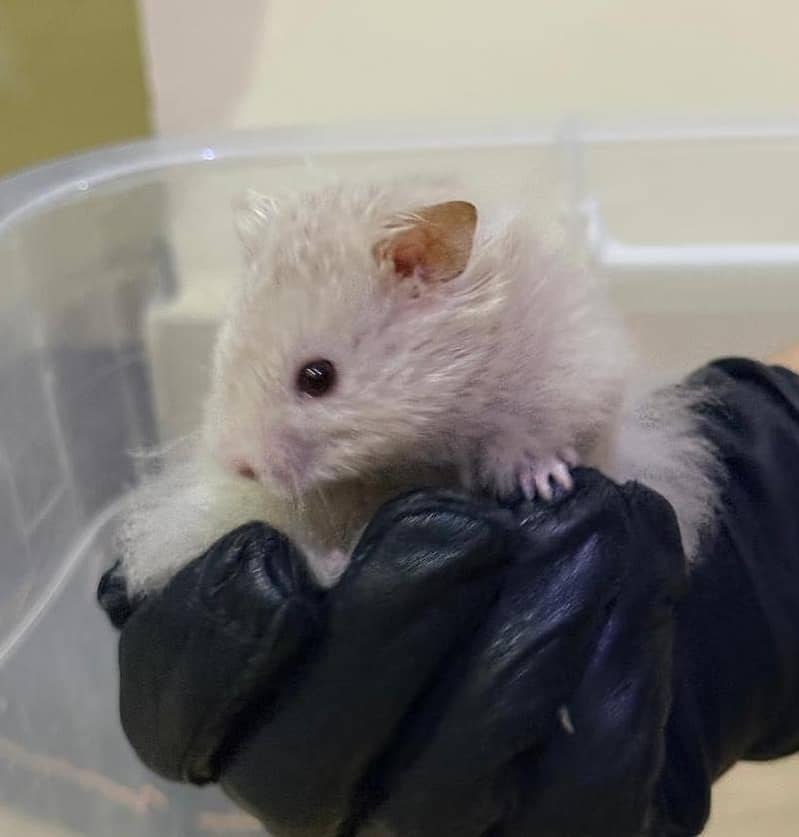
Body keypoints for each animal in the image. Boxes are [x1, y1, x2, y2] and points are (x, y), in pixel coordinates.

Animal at [119, 175, 720, 594]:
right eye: (224, 353)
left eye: (318, 377)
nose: (239, 467)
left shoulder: (580, 376)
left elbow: (538, 435)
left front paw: (545, 481)